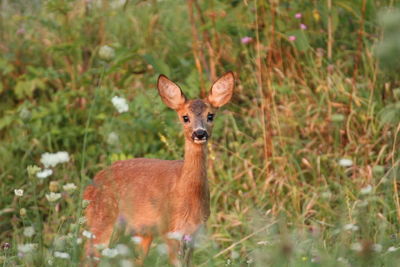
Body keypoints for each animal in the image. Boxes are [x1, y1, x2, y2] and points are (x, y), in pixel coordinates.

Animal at [84, 71, 234, 266]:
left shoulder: (194, 231)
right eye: (185, 117)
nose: (200, 133)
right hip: (102, 219)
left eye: (211, 116)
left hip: (141, 232)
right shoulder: (168, 228)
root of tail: (90, 186)